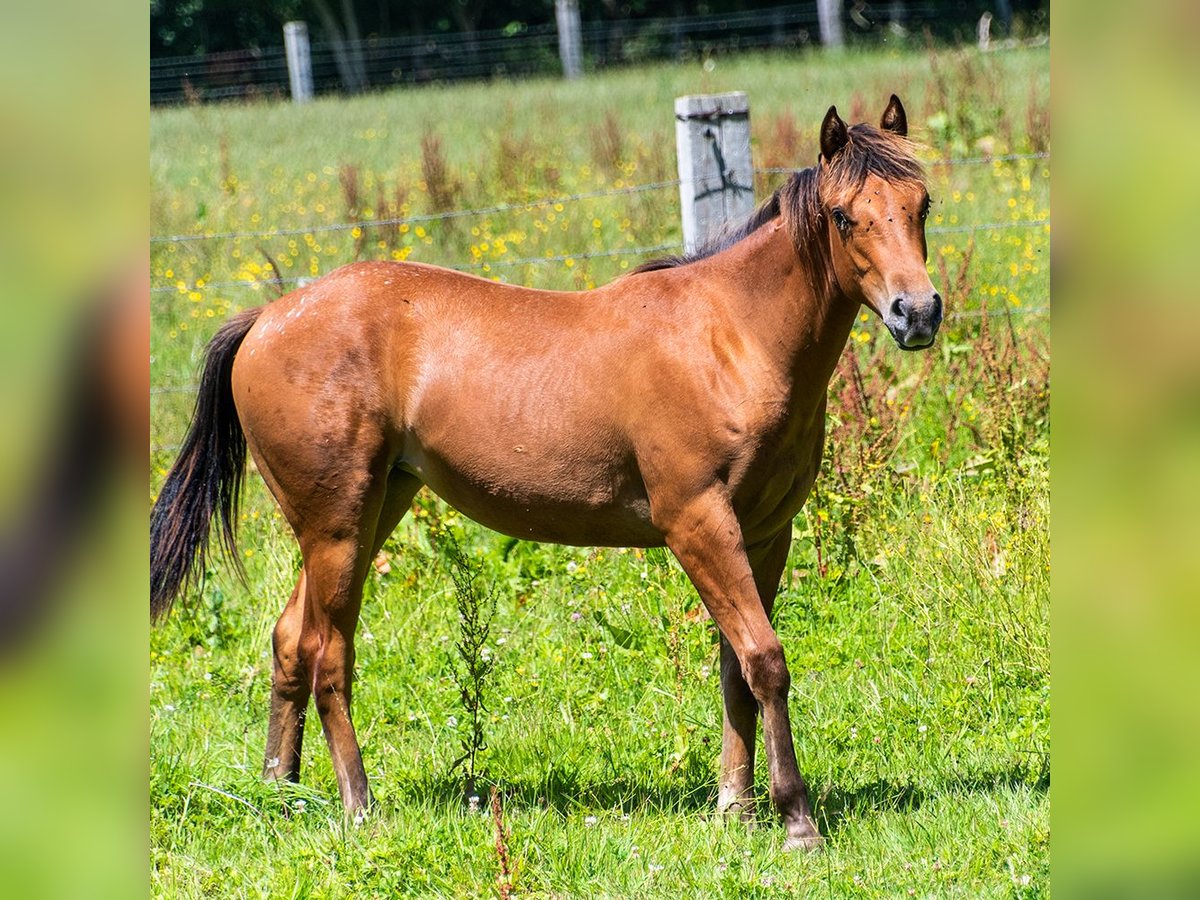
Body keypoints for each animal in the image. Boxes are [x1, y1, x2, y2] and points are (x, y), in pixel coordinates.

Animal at [147, 98, 936, 854]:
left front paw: (735, 808)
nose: (918, 313)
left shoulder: (766, 533)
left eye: (921, 203)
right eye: (845, 215)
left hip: (368, 512)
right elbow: (766, 661)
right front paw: (796, 820)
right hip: (337, 527)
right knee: (327, 655)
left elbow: (734, 667)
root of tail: (264, 319)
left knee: (289, 641)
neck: (731, 339)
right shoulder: (698, 524)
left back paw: (281, 794)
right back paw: (359, 805)